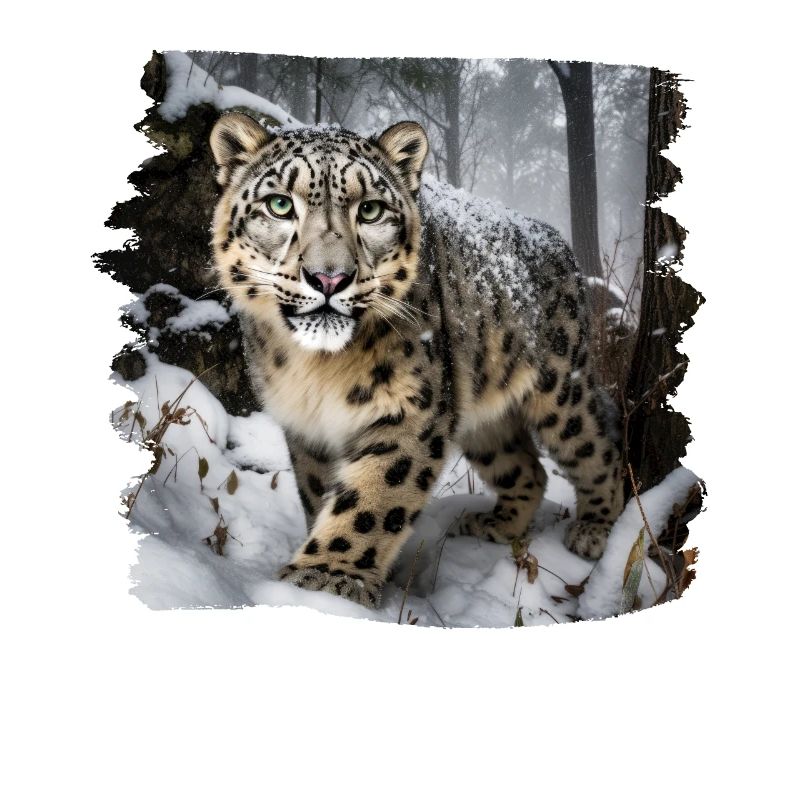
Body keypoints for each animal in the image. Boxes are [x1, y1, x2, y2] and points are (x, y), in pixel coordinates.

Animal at [208, 111, 624, 609]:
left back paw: (593, 531)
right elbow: (320, 493)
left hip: (560, 388)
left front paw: (327, 579)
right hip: (480, 415)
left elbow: (373, 497)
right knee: (529, 469)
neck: (318, 372)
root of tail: (561, 246)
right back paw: (496, 525)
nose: (330, 277)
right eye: (278, 204)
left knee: (597, 446)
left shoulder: (413, 406)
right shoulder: (306, 426)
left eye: (370, 210)